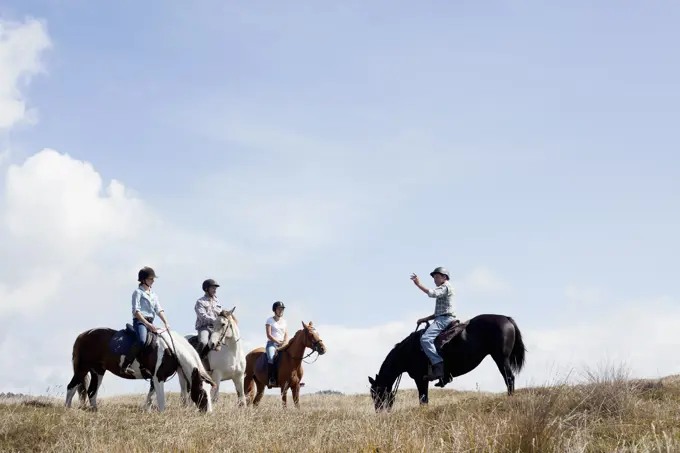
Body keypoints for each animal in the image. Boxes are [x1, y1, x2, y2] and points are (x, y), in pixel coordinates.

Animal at [63, 324, 218, 412]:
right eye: (202, 392)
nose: (208, 413)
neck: (170, 349)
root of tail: (82, 335)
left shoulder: (154, 378)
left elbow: (151, 396)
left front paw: (147, 411)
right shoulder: (158, 377)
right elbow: (161, 399)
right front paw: (162, 413)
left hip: (98, 371)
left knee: (91, 391)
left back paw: (95, 411)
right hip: (82, 369)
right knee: (71, 387)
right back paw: (67, 409)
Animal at [372, 314, 524, 410]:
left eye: (376, 393)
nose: (379, 411)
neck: (408, 351)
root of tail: (506, 318)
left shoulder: (420, 379)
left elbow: (423, 399)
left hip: (501, 358)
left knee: (509, 378)